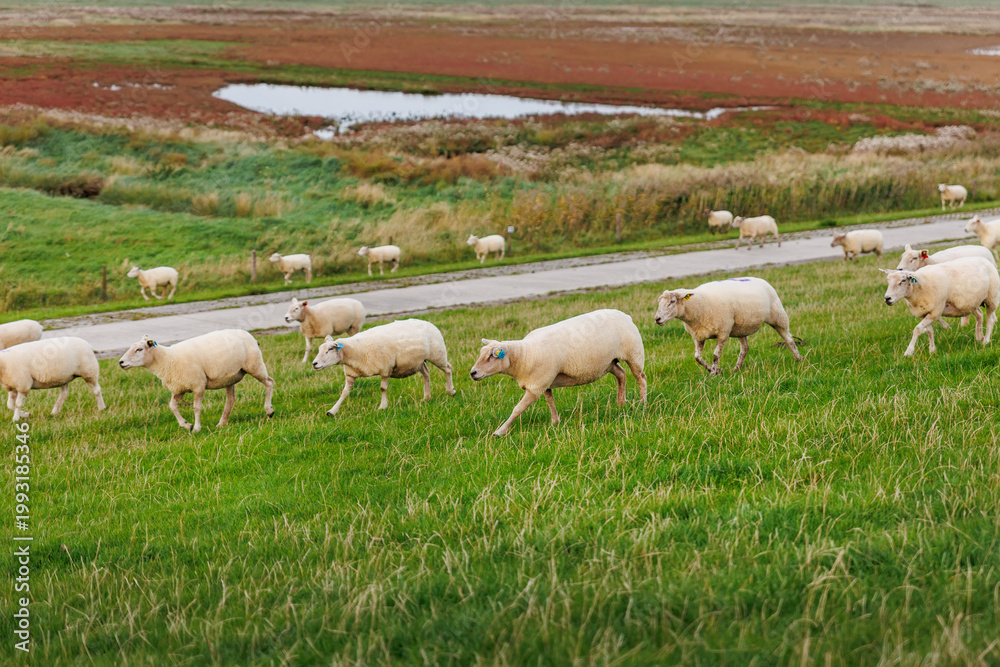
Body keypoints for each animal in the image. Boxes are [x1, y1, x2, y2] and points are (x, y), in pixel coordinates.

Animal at [118, 330, 275, 433]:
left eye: (139, 349)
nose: (121, 362)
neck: (167, 360)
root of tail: (250, 336)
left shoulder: (198, 385)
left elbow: (196, 408)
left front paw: (197, 428)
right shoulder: (179, 388)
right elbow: (172, 406)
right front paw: (186, 425)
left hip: (254, 365)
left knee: (269, 382)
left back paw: (269, 411)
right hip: (230, 377)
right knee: (231, 399)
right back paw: (222, 423)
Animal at [312, 319, 454, 415]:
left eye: (330, 349)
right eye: (320, 349)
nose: (314, 364)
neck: (355, 350)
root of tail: (428, 323)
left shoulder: (386, 369)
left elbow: (383, 388)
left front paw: (382, 406)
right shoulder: (351, 374)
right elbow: (344, 393)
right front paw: (332, 411)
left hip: (438, 354)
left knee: (448, 368)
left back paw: (450, 391)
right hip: (418, 362)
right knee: (426, 373)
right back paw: (426, 397)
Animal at [469, 309, 646, 437]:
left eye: (490, 357)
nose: (472, 373)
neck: (525, 355)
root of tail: (626, 315)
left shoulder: (536, 386)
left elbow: (517, 409)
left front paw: (500, 431)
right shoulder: (544, 382)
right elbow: (550, 401)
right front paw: (555, 422)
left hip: (634, 353)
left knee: (641, 378)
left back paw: (642, 402)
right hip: (609, 362)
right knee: (621, 374)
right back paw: (621, 402)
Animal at [654, 277, 803, 375]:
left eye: (672, 301)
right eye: (659, 303)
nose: (657, 319)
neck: (698, 306)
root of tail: (759, 278)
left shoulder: (723, 333)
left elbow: (715, 356)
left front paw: (713, 373)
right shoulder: (698, 336)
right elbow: (697, 357)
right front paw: (714, 369)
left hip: (778, 316)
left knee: (789, 339)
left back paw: (799, 359)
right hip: (741, 328)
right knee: (745, 348)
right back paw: (737, 368)